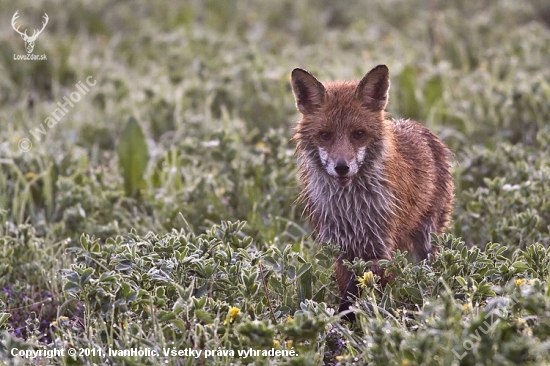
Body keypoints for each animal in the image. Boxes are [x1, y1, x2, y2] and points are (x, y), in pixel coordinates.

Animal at [292, 64, 454, 316]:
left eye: (358, 134)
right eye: (325, 135)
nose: (341, 167)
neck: (351, 209)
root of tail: (418, 126)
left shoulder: (379, 248)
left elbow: (360, 293)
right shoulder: (341, 249)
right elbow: (346, 294)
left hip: (428, 238)